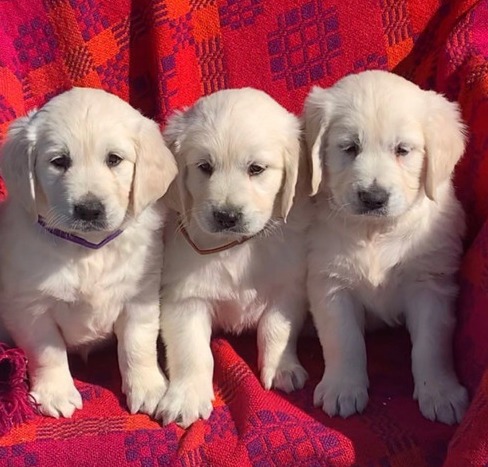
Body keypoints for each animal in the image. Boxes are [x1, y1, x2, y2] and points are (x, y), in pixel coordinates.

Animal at [0, 88, 176, 420]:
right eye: (59, 161)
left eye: (114, 159)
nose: (89, 209)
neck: (87, 249)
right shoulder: (29, 307)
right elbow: (47, 351)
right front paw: (56, 392)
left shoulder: (140, 296)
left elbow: (138, 344)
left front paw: (148, 387)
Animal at [156, 87, 308, 428]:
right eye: (204, 167)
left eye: (256, 169)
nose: (226, 216)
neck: (233, 247)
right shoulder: (184, 299)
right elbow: (193, 351)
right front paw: (187, 397)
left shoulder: (288, 287)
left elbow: (276, 329)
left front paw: (282, 368)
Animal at [304, 71, 468, 426]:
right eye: (349, 148)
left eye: (402, 150)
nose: (373, 197)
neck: (374, 232)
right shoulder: (330, 283)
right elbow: (343, 339)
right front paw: (343, 388)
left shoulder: (430, 284)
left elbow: (431, 344)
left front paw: (440, 392)